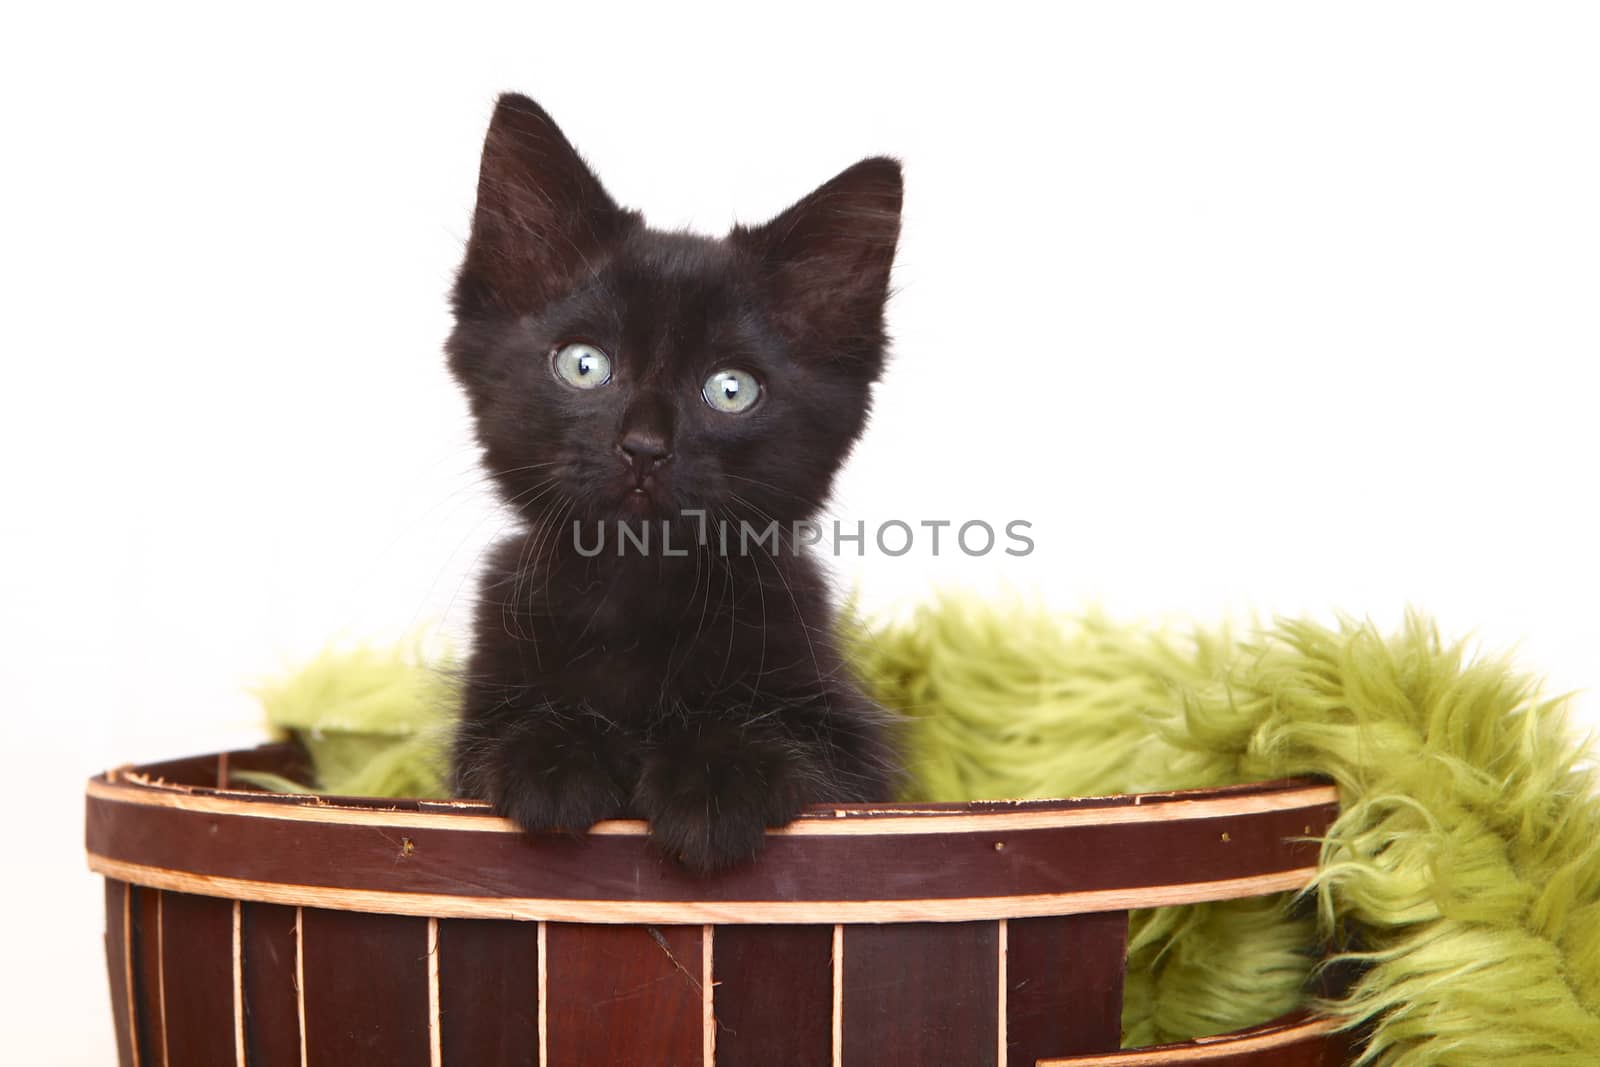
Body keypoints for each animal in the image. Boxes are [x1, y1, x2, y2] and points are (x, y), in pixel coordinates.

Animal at [451, 93, 902, 876]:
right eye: (584, 365)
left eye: (730, 389)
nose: (645, 448)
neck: (639, 597)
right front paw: (551, 757)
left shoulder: (853, 749)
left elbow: (815, 763)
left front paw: (718, 778)